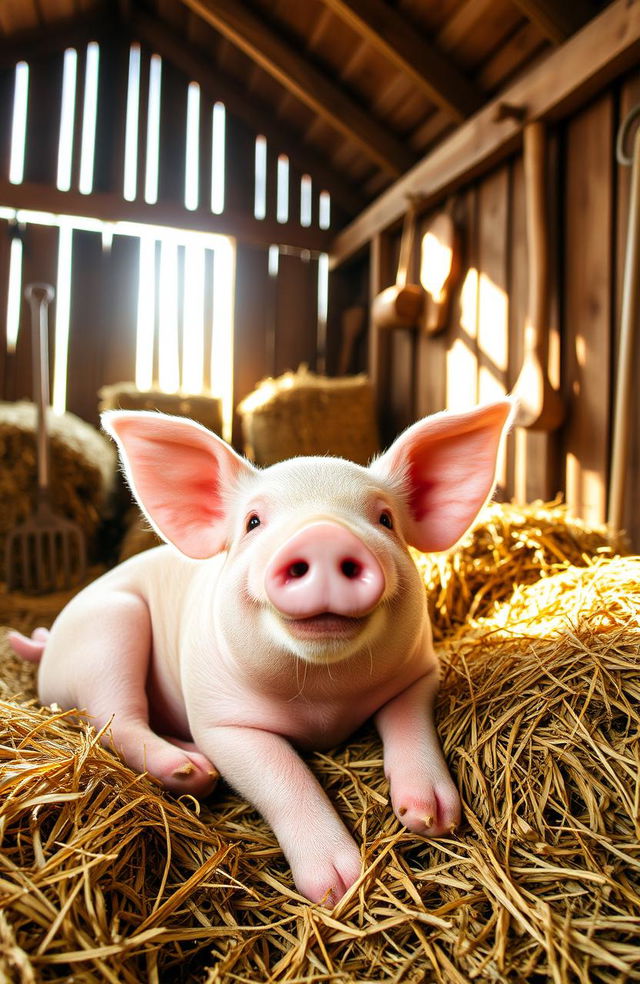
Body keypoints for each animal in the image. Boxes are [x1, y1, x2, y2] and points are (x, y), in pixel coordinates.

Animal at [8, 402, 510, 908]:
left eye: (385, 519)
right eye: (253, 522)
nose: (324, 534)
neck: (325, 699)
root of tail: (50, 642)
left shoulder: (419, 672)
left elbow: (411, 722)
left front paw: (431, 819)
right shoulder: (222, 720)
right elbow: (284, 776)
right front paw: (337, 889)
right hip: (108, 631)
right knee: (115, 720)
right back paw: (194, 771)